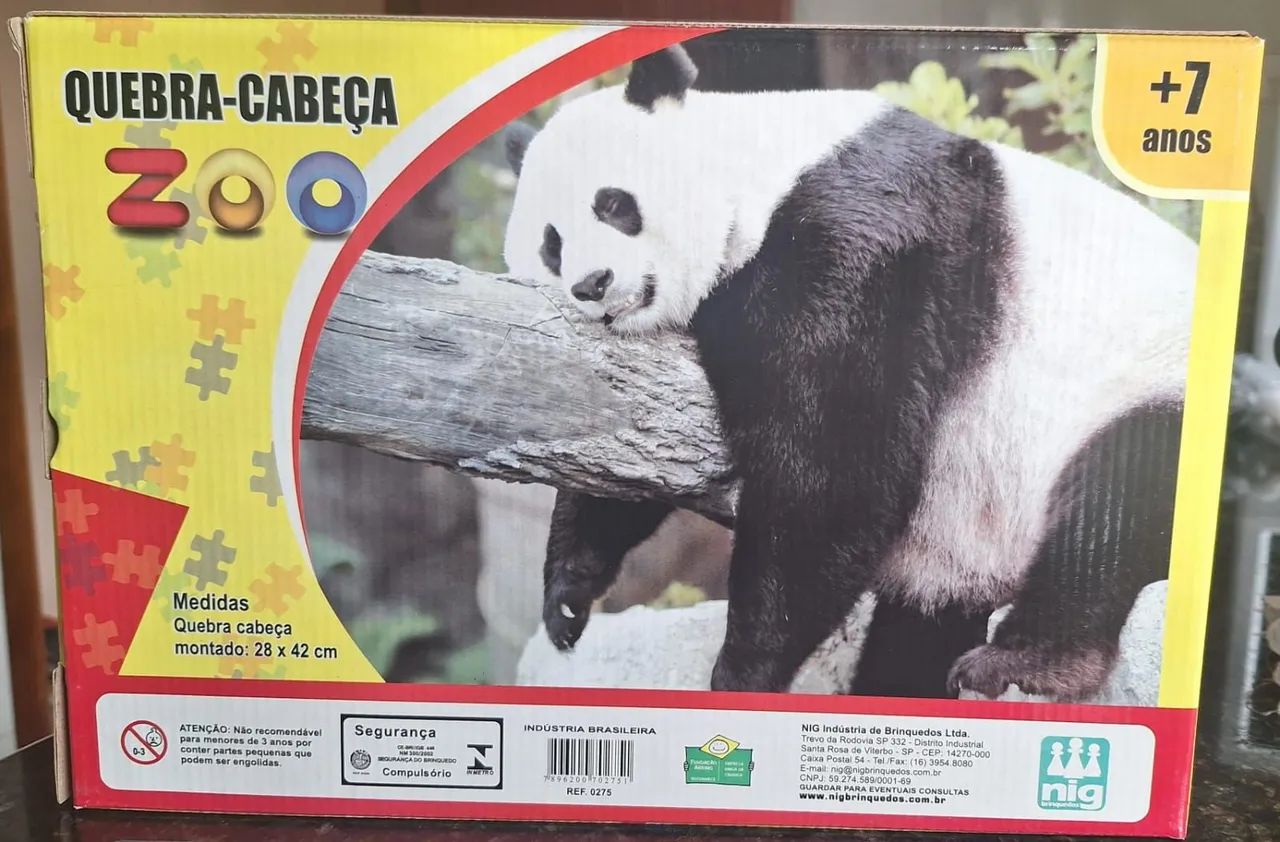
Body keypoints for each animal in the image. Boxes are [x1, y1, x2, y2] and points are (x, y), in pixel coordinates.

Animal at [501, 44, 1194, 701]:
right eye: (552, 244)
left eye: (614, 204)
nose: (593, 283)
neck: (750, 169)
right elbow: (626, 446)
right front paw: (568, 597)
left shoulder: (859, 238)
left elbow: (834, 468)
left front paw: (743, 671)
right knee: (919, 630)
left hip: (1143, 383)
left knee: (1118, 498)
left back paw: (1028, 662)